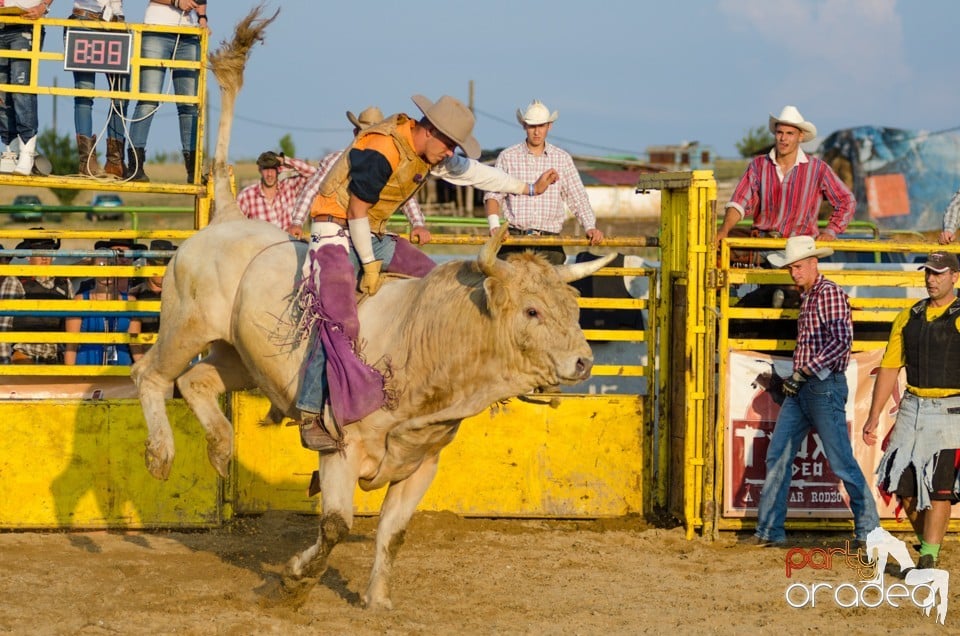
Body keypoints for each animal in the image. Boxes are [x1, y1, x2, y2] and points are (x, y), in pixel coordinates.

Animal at [131, 7, 616, 608]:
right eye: (531, 312)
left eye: (573, 305)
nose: (583, 362)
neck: (429, 340)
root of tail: (224, 218)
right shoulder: (341, 452)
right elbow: (337, 525)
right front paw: (294, 583)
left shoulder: (421, 463)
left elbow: (394, 531)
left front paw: (377, 600)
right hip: (186, 323)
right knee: (151, 375)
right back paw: (161, 456)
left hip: (239, 355)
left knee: (197, 383)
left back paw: (221, 448)